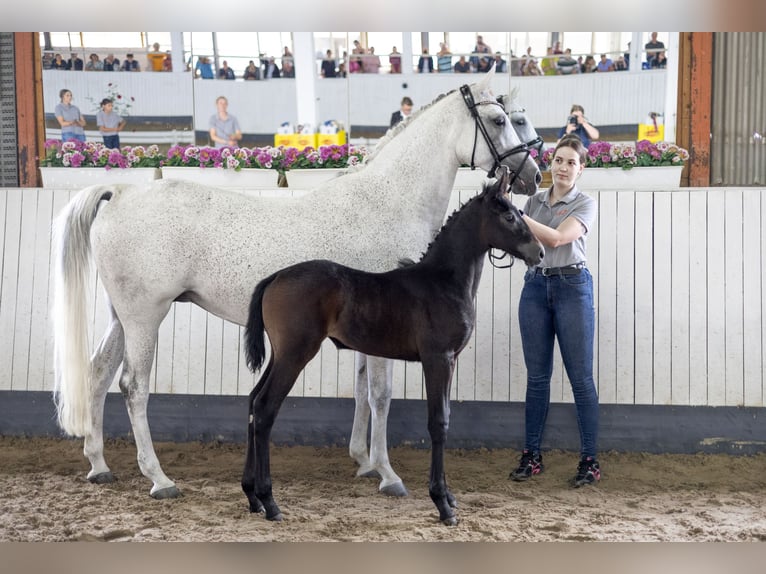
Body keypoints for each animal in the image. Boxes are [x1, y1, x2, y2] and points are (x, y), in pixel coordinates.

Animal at [242, 166, 544, 526]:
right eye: (510, 216)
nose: (540, 253)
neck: (443, 282)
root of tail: (275, 277)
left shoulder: (451, 360)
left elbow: (446, 415)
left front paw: (449, 498)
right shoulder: (437, 359)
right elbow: (438, 422)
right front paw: (442, 504)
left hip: (280, 354)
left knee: (253, 400)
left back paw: (252, 497)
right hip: (295, 354)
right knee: (265, 408)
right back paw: (270, 501)